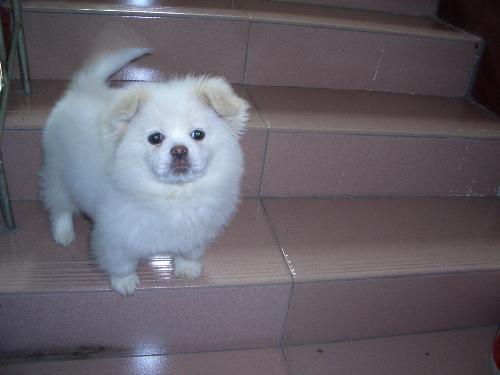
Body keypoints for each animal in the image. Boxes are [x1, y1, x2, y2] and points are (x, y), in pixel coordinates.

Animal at [40, 48, 249, 296]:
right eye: (155, 138)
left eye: (198, 134)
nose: (179, 150)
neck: (176, 194)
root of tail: (83, 89)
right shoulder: (116, 236)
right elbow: (122, 263)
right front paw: (125, 283)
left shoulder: (197, 230)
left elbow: (189, 251)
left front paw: (187, 268)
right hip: (58, 171)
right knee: (59, 207)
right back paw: (63, 234)